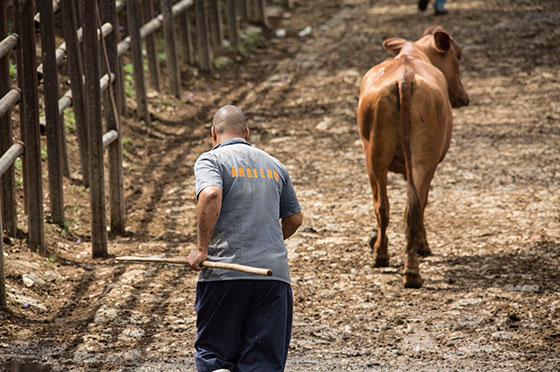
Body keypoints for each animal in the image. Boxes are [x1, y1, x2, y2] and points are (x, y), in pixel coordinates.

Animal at [356, 26, 470, 288]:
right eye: (458, 55)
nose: (464, 97)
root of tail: (405, 76)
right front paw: (423, 245)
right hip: (423, 160)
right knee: (414, 206)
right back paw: (412, 271)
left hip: (373, 154)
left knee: (382, 205)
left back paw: (381, 254)